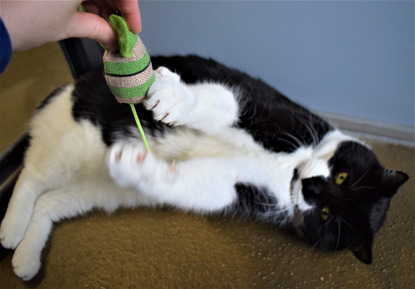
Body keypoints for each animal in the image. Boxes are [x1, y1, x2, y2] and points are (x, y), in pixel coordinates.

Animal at [0, 54, 410, 280]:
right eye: (342, 176)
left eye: (325, 215)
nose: (311, 188)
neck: (289, 169)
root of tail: (72, 84)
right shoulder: (268, 108)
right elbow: (225, 102)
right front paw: (174, 98)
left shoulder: (235, 188)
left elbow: (199, 187)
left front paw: (144, 169)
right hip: (70, 142)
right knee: (31, 175)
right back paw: (11, 226)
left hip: (99, 189)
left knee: (50, 203)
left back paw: (25, 255)